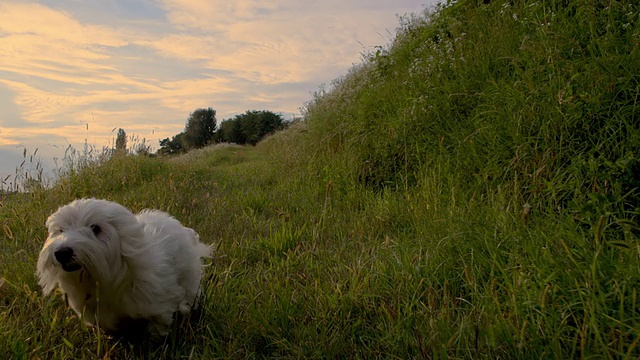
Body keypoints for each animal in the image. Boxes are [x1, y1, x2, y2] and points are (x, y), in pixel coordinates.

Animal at [37, 197, 212, 338]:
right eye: (60, 230)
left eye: (95, 228)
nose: (62, 252)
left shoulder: (157, 299)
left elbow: (159, 320)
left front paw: (157, 335)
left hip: (189, 276)